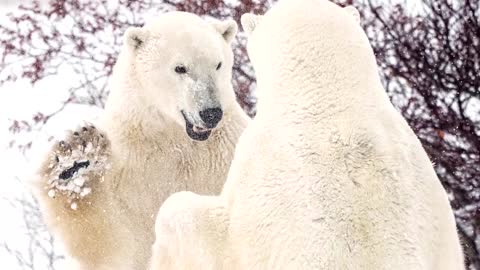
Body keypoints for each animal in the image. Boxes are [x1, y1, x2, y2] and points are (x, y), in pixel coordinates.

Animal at [34, 11, 248, 270]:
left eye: (218, 64)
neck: (175, 139)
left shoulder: (228, 152)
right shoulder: (127, 167)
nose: (211, 113)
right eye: (180, 68)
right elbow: (109, 242)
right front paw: (74, 162)